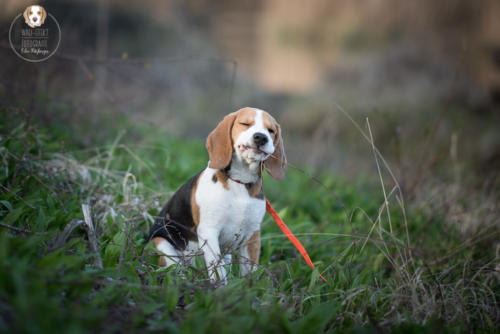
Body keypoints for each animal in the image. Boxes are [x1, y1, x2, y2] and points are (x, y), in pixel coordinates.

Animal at [147, 107, 286, 282]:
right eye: (245, 123)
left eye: (271, 131)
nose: (261, 137)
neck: (240, 181)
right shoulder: (209, 232)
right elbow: (219, 273)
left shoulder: (252, 235)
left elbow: (249, 274)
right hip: (163, 246)